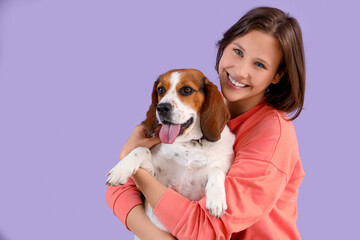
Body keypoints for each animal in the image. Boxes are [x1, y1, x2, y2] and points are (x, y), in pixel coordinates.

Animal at [106, 69, 236, 234]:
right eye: (161, 90)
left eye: (187, 89)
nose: (161, 108)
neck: (191, 144)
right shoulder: (153, 180)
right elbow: (141, 150)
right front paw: (121, 169)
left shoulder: (199, 190)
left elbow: (216, 170)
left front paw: (216, 198)